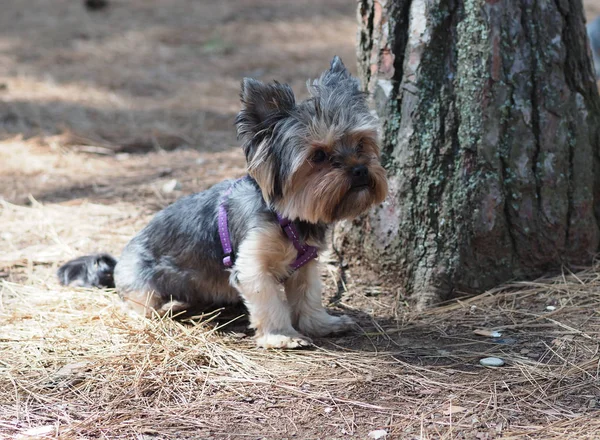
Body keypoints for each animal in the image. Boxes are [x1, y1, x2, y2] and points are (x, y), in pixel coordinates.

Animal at [59, 56, 390, 348]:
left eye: (361, 143)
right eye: (318, 156)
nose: (360, 169)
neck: (285, 216)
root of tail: (118, 261)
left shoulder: (306, 264)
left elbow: (308, 295)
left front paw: (322, 324)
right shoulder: (252, 264)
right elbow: (270, 301)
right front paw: (282, 336)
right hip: (143, 286)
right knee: (138, 304)